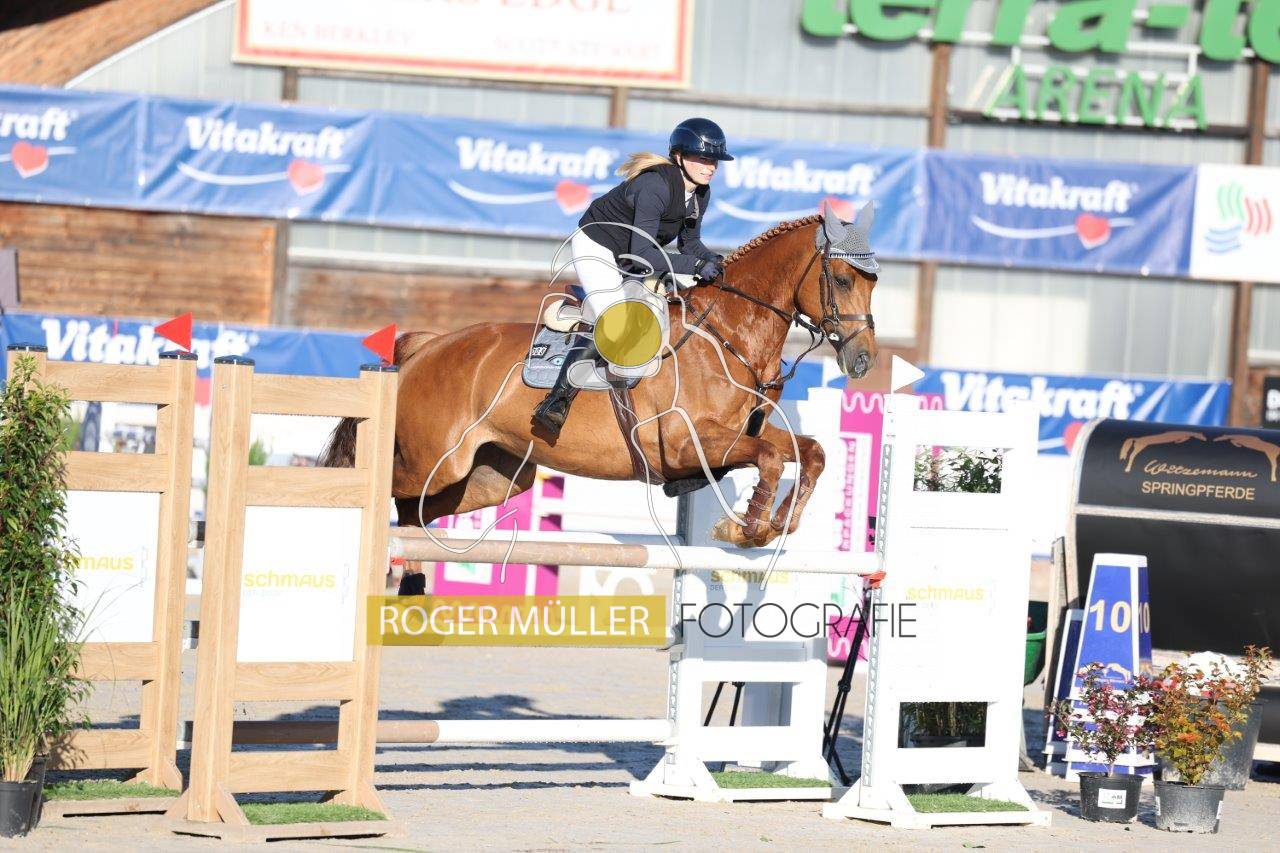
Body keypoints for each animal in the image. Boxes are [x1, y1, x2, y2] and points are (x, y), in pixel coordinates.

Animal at [320, 202, 880, 552]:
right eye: (842, 279)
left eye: (874, 284)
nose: (863, 361)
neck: (727, 335)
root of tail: (428, 346)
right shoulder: (685, 445)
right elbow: (769, 460)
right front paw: (743, 528)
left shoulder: (736, 436)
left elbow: (809, 452)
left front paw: (776, 525)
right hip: (432, 461)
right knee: (372, 485)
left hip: (489, 477)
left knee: (416, 514)